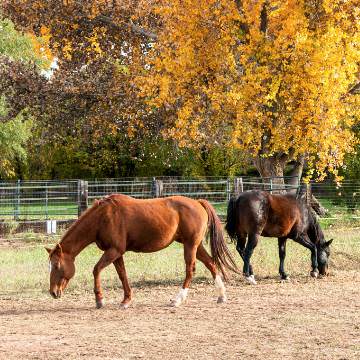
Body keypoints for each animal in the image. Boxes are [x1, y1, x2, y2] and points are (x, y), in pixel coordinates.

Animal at [46, 195, 240, 308]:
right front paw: (126, 299)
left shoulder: (113, 250)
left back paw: (178, 299)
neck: (102, 217)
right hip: (195, 245)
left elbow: (96, 269)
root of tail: (198, 203)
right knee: (211, 263)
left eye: (56, 266)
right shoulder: (116, 253)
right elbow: (122, 275)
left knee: (190, 270)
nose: (53, 292)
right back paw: (222, 295)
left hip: (190, 246)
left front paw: (99, 300)